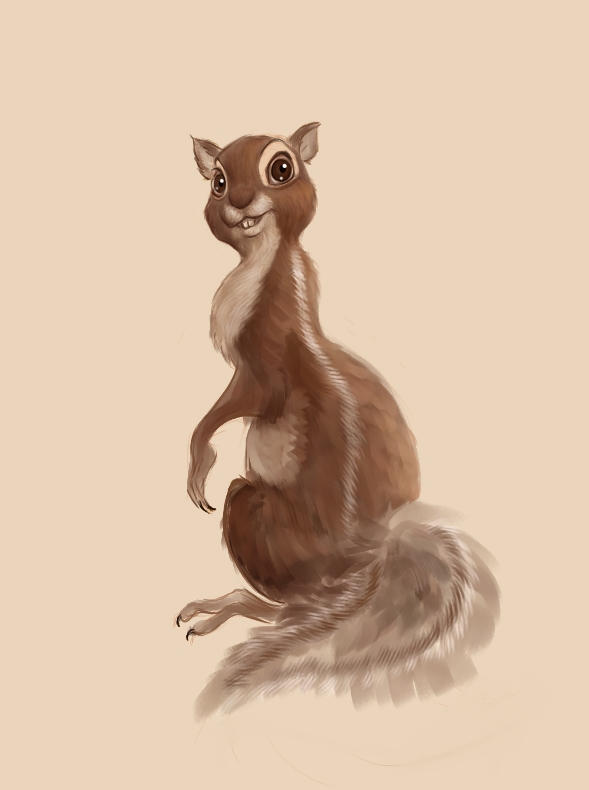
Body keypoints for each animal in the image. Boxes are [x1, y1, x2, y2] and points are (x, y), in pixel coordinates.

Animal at [176, 123, 499, 716]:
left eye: (282, 169)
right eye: (217, 181)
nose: (239, 203)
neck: (262, 264)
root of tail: (365, 566)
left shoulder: (262, 369)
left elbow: (228, 410)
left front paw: (197, 460)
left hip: (251, 508)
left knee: (285, 608)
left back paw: (220, 610)